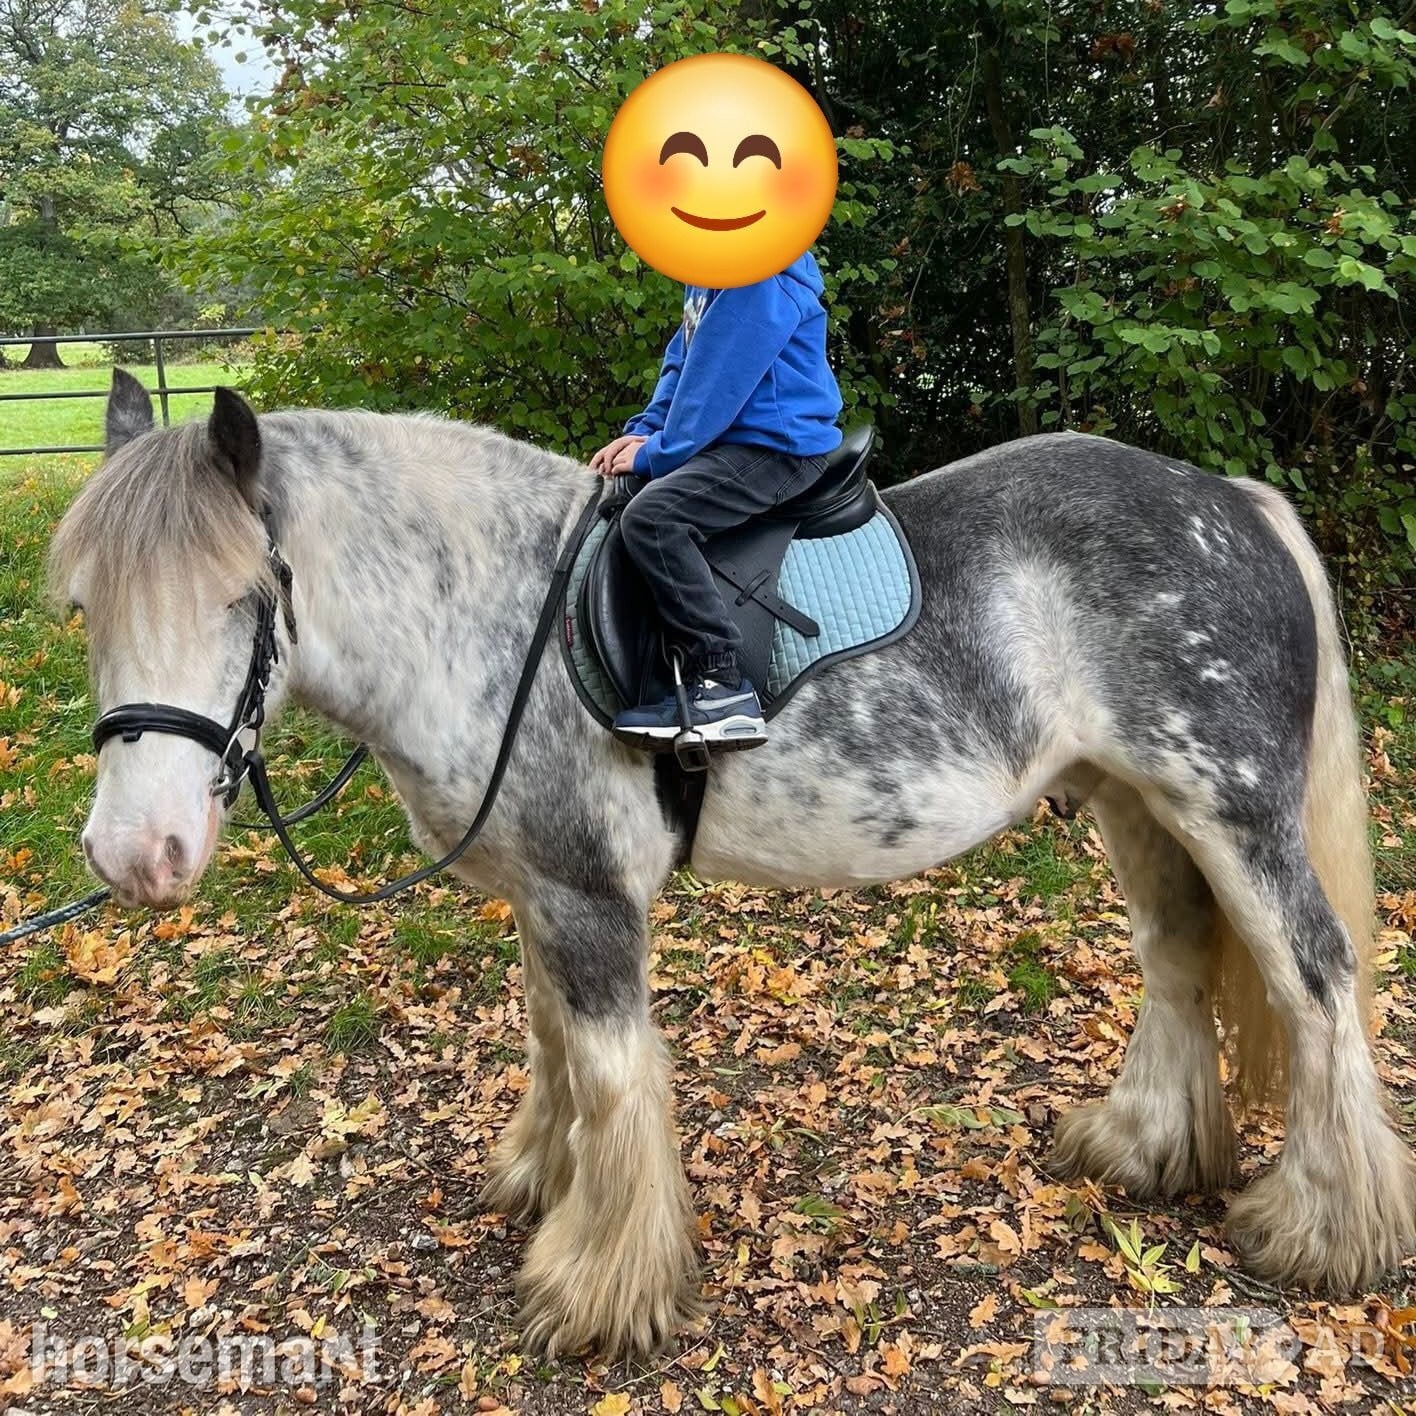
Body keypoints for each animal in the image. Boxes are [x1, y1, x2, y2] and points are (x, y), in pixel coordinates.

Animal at [48, 369, 1415, 1358]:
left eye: (242, 598)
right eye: (85, 608)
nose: (135, 854)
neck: (493, 616)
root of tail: (1230, 500)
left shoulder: (590, 900)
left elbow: (611, 1078)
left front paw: (599, 1290)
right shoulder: (545, 895)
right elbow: (552, 1043)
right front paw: (541, 1180)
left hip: (1230, 807)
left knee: (1316, 978)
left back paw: (1327, 1232)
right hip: (1139, 804)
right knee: (1182, 956)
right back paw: (1142, 1146)